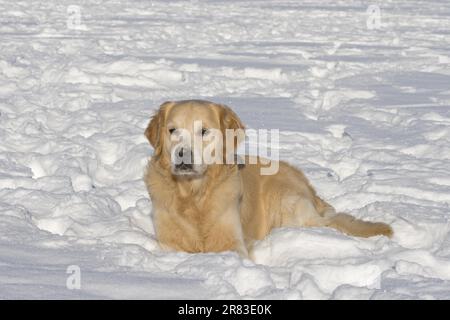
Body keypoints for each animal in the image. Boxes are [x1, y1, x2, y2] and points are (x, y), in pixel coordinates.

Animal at [143, 100, 390, 258]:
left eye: (203, 131)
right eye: (172, 130)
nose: (182, 155)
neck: (194, 195)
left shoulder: (232, 243)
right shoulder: (169, 243)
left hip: (285, 201)